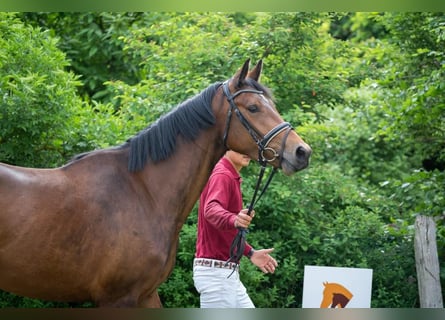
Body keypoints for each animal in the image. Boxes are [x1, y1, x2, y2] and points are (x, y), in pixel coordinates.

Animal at [0, 58, 310, 306]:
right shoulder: (118, 299)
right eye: (254, 107)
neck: (143, 191)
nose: (302, 152)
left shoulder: (146, 294)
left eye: (272, 105)